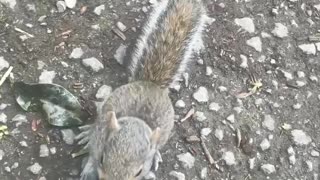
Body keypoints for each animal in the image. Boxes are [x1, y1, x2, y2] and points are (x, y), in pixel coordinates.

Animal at [75, 0, 209, 179]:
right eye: (102, 159)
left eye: (139, 172)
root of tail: (150, 84)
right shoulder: (99, 141)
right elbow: (91, 155)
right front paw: (89, 167)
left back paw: (157, 154)